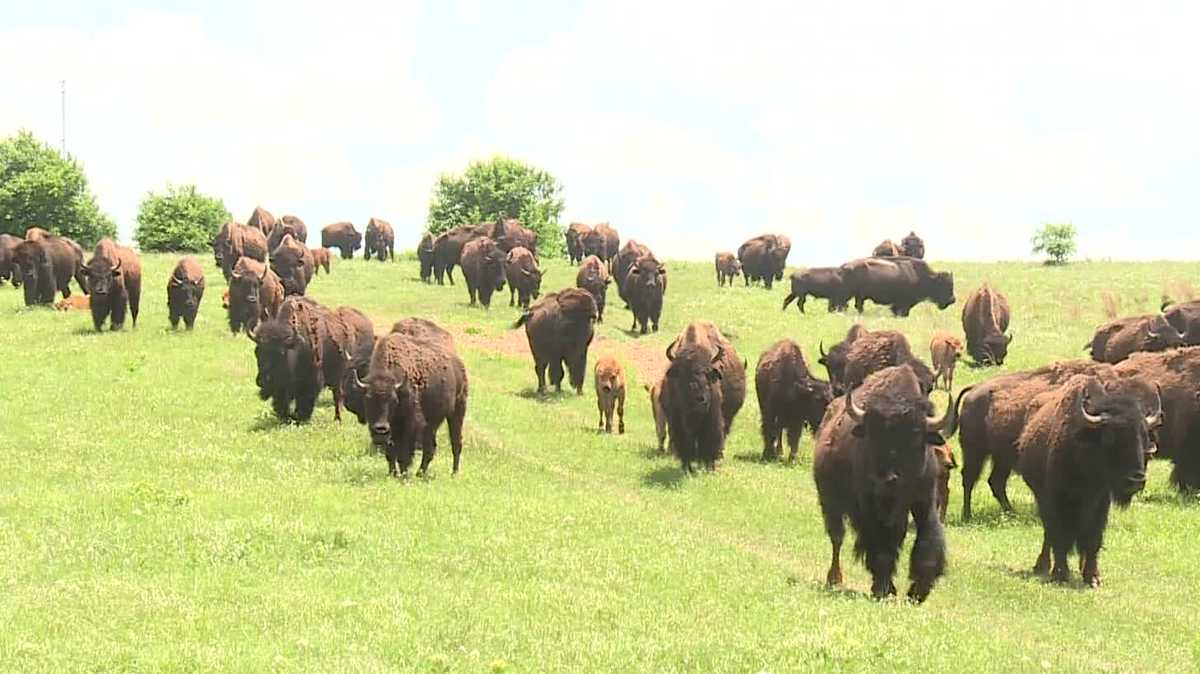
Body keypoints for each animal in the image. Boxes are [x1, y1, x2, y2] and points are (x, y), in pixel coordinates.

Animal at [813, 364, 959, 602]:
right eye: (873, 435)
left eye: (915, 438)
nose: (887, 480)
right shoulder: (869, 508)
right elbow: (879, 545)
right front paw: (883, 587)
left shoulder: (923, 501)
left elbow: (928, 535)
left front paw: (918, 591)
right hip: (830, 503)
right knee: (837, 539)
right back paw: (834, 579)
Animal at [1017, 374, 1158, 587]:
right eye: (1111, 437)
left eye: (1144, 437)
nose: (1136, 480)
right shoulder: (1056, 501)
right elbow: (1059, 536)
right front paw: (1060, 574)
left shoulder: (1100, 504)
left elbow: (1093, 538)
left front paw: (1093, 577)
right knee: (1049, 534)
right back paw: (1042, 566)